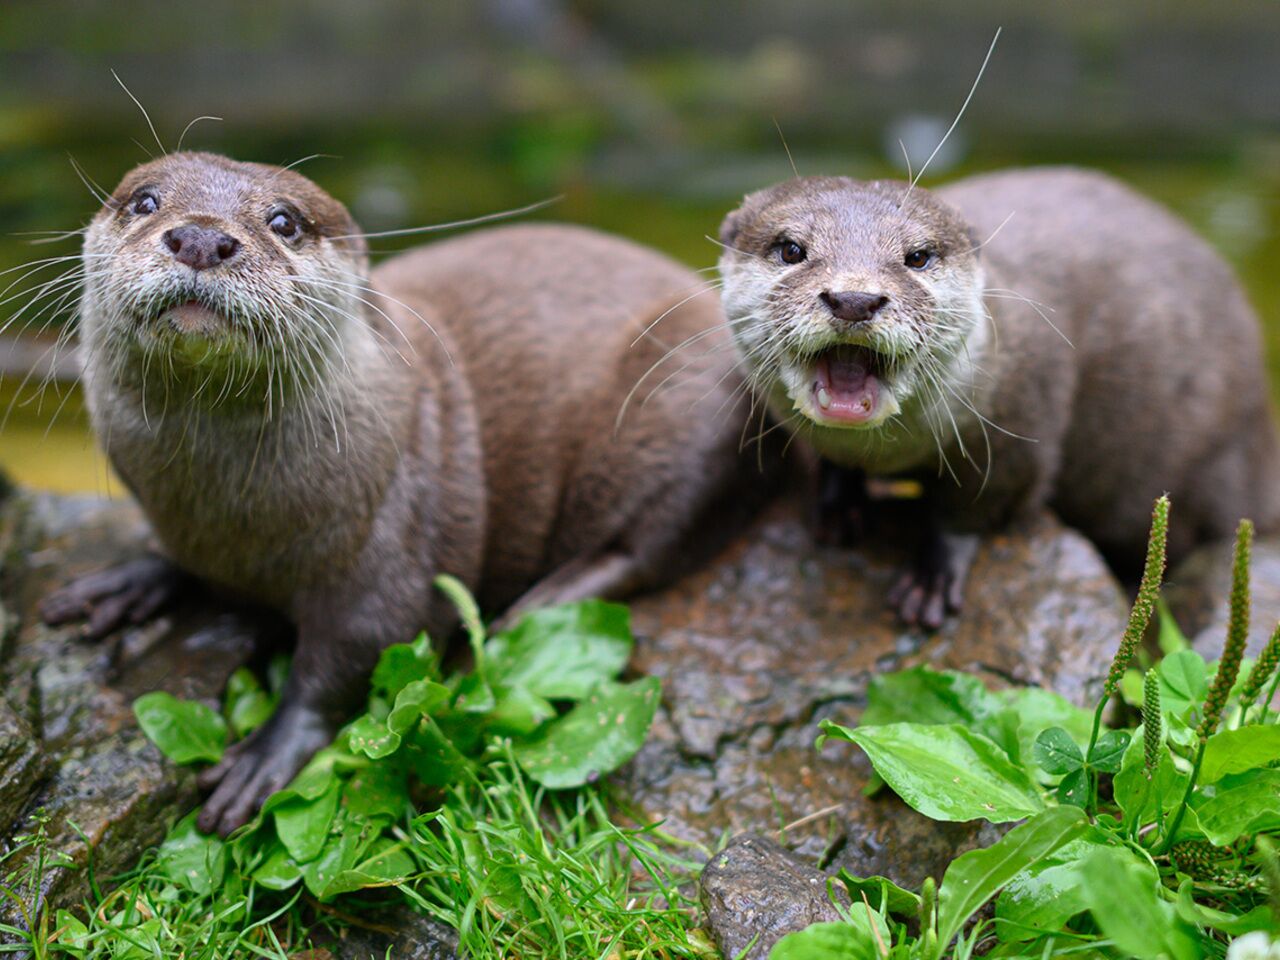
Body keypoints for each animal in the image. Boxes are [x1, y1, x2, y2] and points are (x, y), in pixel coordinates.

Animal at [35, 150, 762, 834]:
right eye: (145, 201)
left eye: (283, 221)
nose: (201, 238)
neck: (227, 516)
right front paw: (133, 578)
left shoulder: (389, 545)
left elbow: (354, 653)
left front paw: (267, 754)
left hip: (685, 408)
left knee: (653, 541)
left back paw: (540, 602)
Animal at [721, 167, 1280, 627]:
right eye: (791, 249)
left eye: (917, 257)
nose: (854, 298)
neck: (888, 454)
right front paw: (840, 506)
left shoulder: (1020, 429)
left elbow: (975, 506)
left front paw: (932, 577)